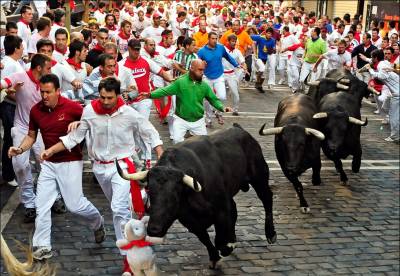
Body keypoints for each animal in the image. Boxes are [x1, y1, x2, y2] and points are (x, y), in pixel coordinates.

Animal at [117, 124, 276, 268]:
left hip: (259, 177)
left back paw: (270, 234)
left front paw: (227, 247)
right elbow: (204, 237)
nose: (154, 230)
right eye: (149, 191)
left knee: (267, 199)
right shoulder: (188, 219)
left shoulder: (221, 208)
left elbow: (220, 236)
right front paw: (214, 257)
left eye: (174, 195)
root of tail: (240, 130)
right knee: (235, 209)